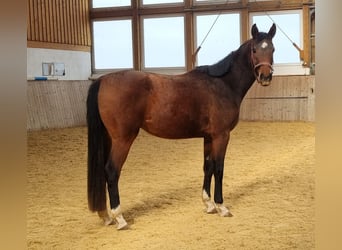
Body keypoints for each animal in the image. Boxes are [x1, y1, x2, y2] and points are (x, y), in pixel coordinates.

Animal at [87, 23, 276, 230]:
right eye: (255, 50)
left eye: (273, 49)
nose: (265, 76)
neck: (223, 84)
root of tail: (103, 80)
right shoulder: (221, 135)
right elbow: (219, 168)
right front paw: (221, 206)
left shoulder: (208, 137)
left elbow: (208, 166)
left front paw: (208, 204)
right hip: (123, 139)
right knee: (112, 171)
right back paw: (119, 218)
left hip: (109, 138)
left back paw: (106, 215)